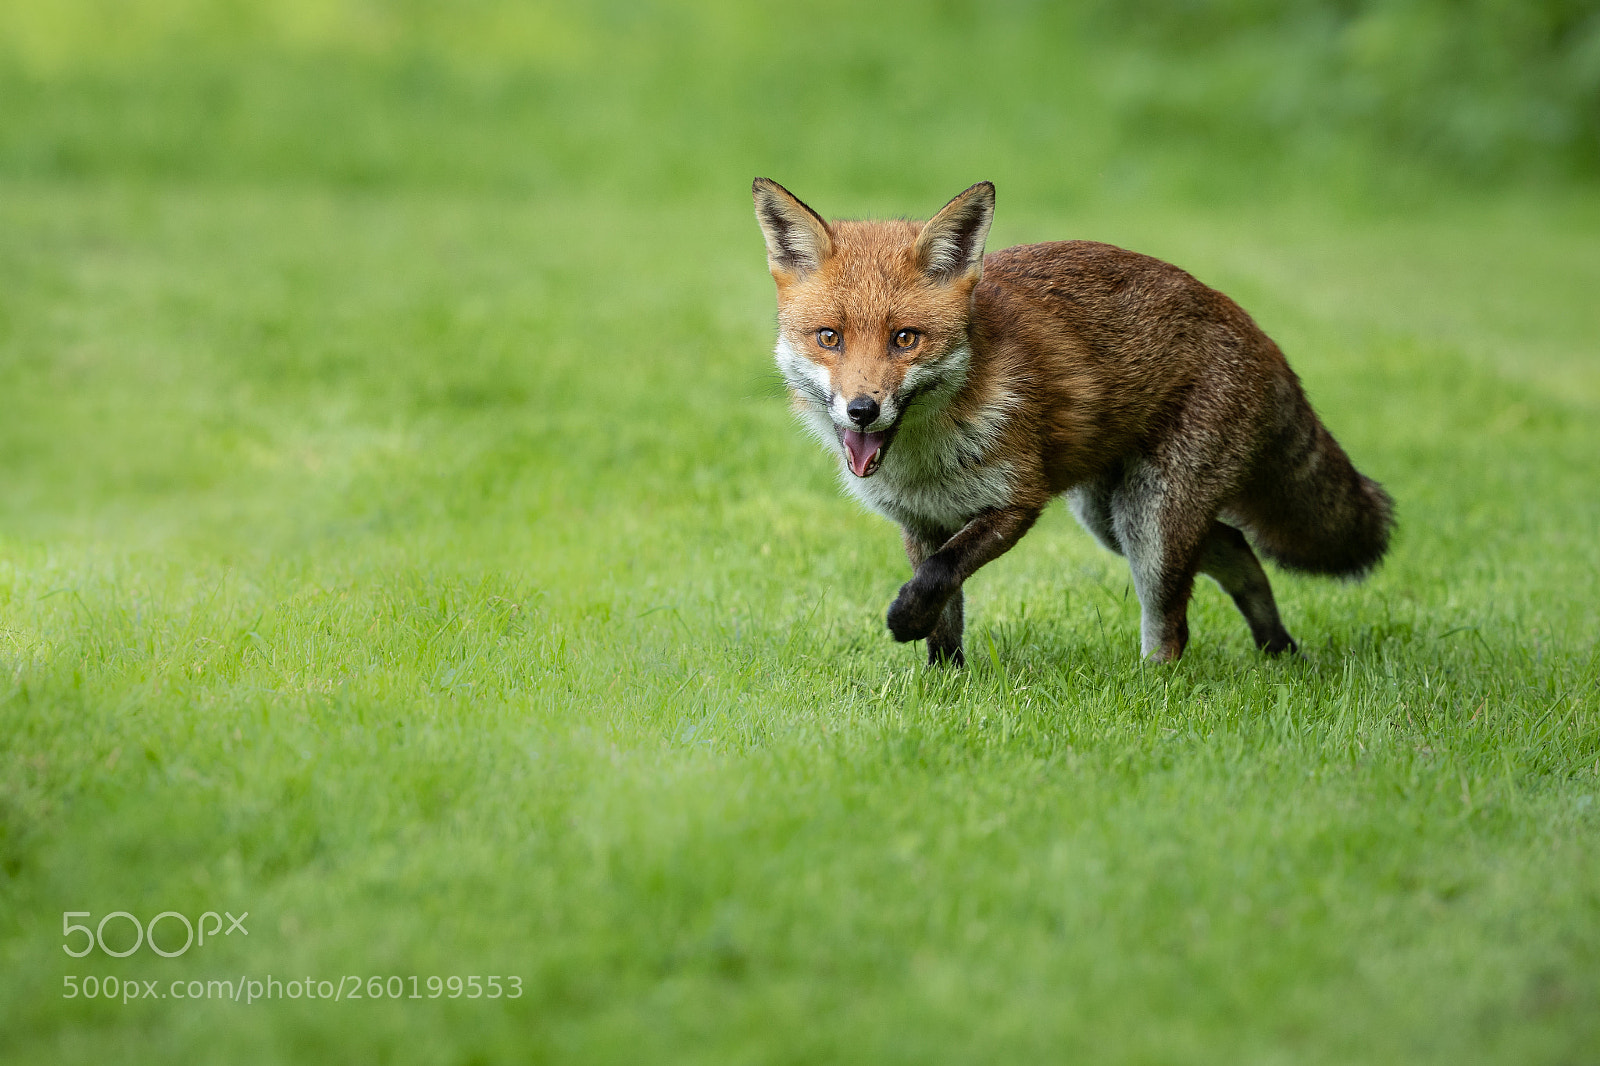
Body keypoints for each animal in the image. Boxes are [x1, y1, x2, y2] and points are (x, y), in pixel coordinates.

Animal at [753, 178, 1394, 667]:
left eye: (905, 339)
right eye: (829, 338)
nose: (863, 409)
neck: (927, 461)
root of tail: (1260, 331)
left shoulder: (1016, 502)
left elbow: (939, 575)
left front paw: (904, 621)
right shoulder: (922, 521)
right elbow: (946, 614)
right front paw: (944, 686)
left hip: (1151, 521)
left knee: (1174, 625)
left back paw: (1155, 688)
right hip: (1112, 517)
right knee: (1239, 551)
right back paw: (1277, 648)